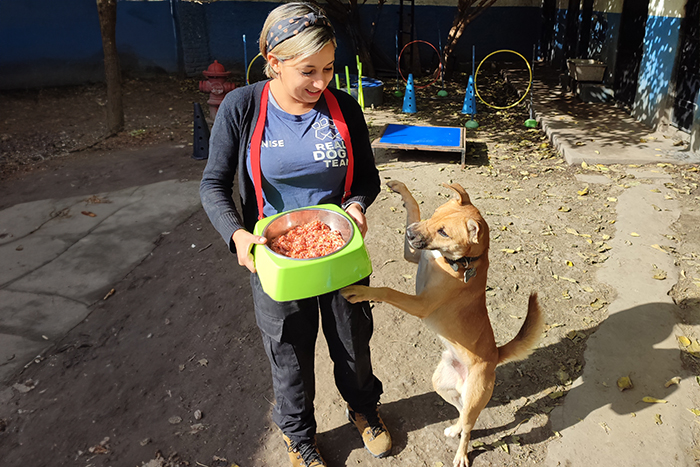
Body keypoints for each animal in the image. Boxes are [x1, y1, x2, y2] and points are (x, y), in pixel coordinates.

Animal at [341, 180, 543, 467]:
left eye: (444, 232)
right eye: (435, 214)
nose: (409, 233)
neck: (457, 262)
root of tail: (495, 354)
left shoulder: (421, 304)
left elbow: (387, 291)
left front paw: (359, 291)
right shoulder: (413, 255)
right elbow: (413, 209)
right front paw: (401, 190)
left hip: (475, 396)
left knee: (470, 426)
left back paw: (461, 454)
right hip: (443, 385)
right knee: (461, 413)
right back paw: (455, 428)